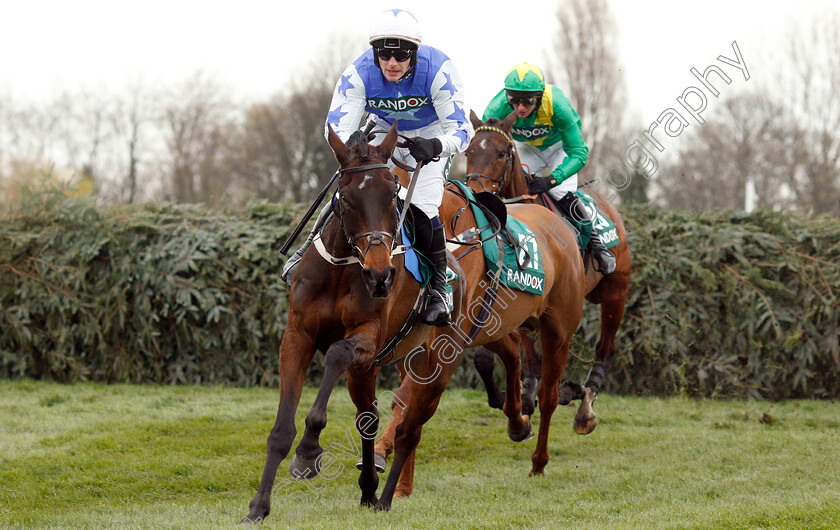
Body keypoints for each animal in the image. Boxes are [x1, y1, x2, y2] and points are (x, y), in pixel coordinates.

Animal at [243, 118, 584, 516]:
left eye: (392, 197)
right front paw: (259, 506)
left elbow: (337, 355)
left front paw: (310, 451)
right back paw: (371, 488)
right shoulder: (298, 335)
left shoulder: (368, 337)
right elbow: (283, 428)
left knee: (415, 428)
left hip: (476, 351)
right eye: (346, 197)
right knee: (372, 418)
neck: (344, 268)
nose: (380, 275)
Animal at [466, 109, 632, 436]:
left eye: (501, 153)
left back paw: (585, 405)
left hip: (615, 293)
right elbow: (512, 358)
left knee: (605, 348)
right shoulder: (518, 296)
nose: (477, 194)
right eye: (468, 152)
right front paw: (520, 399)